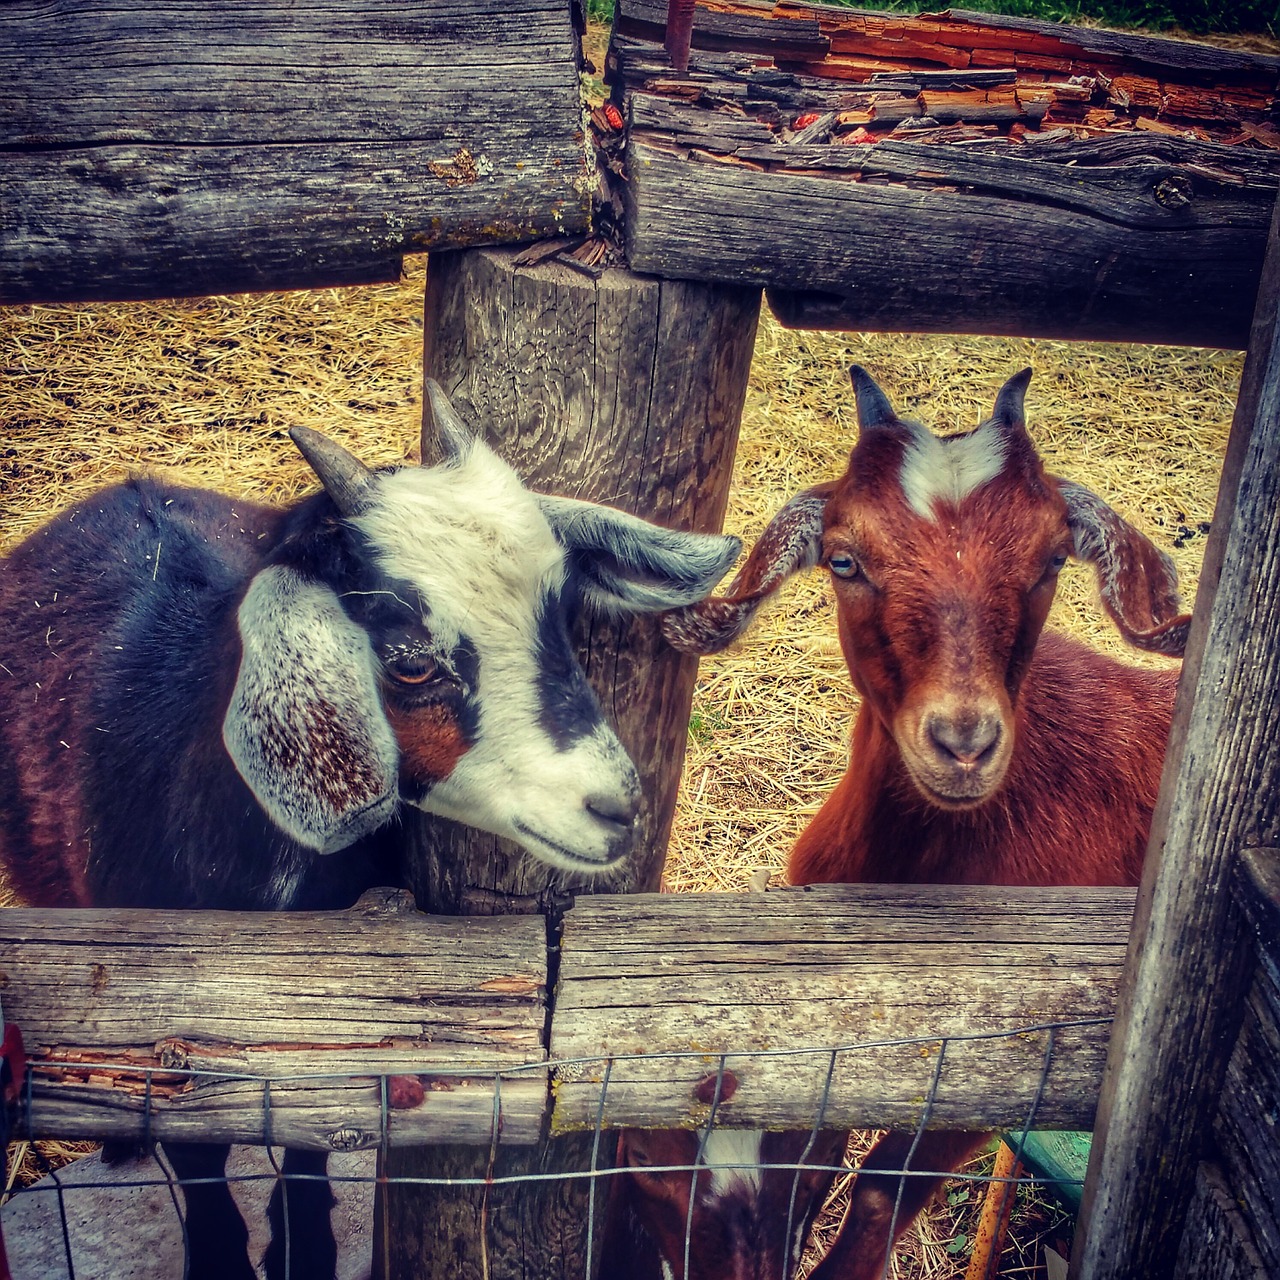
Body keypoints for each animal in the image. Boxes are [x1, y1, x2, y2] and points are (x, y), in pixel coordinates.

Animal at [0, 378, 742, 1280]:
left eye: (562, 617)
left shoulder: (336, 1018)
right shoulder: (164, 1021)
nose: (616, 806)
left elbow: (314, 1126)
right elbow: (197, 1153)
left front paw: (306, 1247)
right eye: (411, 660)